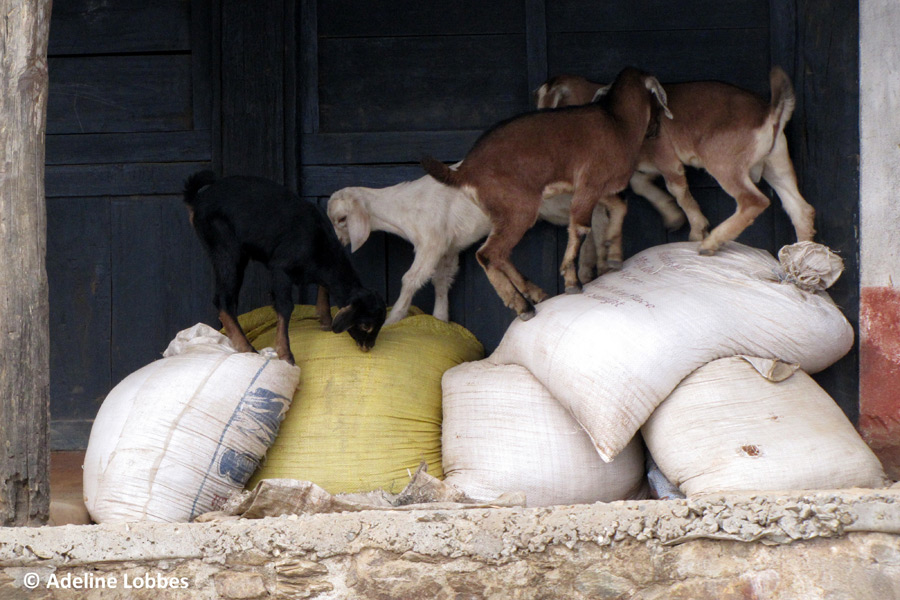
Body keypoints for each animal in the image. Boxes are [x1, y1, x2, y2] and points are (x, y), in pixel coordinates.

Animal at [183, 171, 386, 364]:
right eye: (364, 325)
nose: (368, 347)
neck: (320, 246)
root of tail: (198, 200)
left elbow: (323, 288)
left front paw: (325, 320)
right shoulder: (280, 268)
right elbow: (285, 306)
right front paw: (285, 354)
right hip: (226, 249)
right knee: (224, 299)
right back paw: (246, 347)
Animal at [422, 67, 668, 318]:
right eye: (656, 98)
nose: (656, 128)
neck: (619, 125)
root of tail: (464, 172)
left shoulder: (598, 188)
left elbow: (620, 205)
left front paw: (615, 256)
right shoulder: (589, 184)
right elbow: (580, 227)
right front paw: (572, 282)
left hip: (502, 215)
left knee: (501, 254)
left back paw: (536, 293)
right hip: (518, 209)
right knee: (489, 254)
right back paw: (522, 306)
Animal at [536, 68, 816, 255]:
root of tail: (770, 112)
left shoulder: (666, 156)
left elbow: (678, 190)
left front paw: (695, 230)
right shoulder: (644, 165)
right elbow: (640, 184)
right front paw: (672, 217)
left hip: (725, 163)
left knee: (753, 200)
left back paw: (710, 243)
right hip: (777, 163)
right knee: (800, 208)